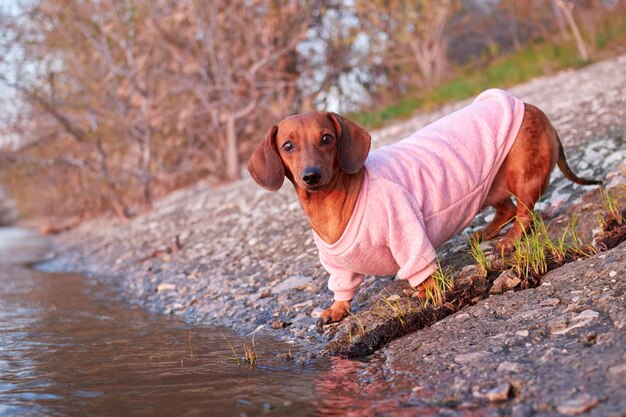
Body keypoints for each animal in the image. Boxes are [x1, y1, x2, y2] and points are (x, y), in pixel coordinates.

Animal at [246, 89, 596, 326]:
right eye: (288, 145)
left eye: (327, 138)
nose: (311, 176)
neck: (334, 202)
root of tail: (529, 106)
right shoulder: (337, 265)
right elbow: (342, 287)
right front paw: (336, 309)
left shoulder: (407, 232)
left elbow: (421, 269)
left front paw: (428, 295)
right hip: (489, 185)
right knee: (507, 209)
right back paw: (484, 234)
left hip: (522, 172)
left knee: (524, 212)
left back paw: (509, 240)